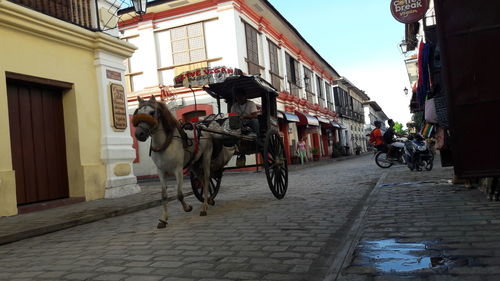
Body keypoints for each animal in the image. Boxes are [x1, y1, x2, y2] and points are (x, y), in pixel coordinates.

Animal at [132, 95, 212, 228]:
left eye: (152, 112)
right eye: (138, 112)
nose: (139, 134)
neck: (165, 143)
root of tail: (203, 127)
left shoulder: (178, 170)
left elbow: (179, 194)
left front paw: (187, 208)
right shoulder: (161, 171)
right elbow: (164, 195)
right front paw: (163, 219)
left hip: (206, 159)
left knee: (206, 180)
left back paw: (204, 207)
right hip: (193, 165)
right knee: (202, 180)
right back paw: (210, 200)